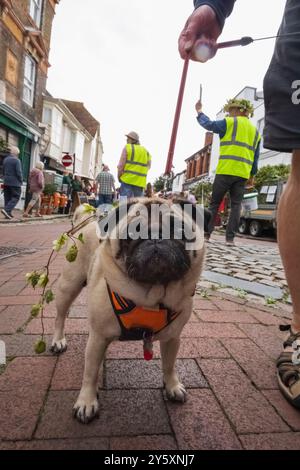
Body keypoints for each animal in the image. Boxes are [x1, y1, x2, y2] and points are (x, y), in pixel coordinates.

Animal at [50, 196, 207, 424]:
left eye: (178, 230)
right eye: (134, 232)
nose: (155, 236)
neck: (152, 295)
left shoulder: (172, 338)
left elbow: (169, 365)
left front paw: (172, 386)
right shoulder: (97, 337)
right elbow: (90, 372)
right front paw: (86, 401)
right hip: (69, 285)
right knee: (61, 315)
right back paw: (58, 340)